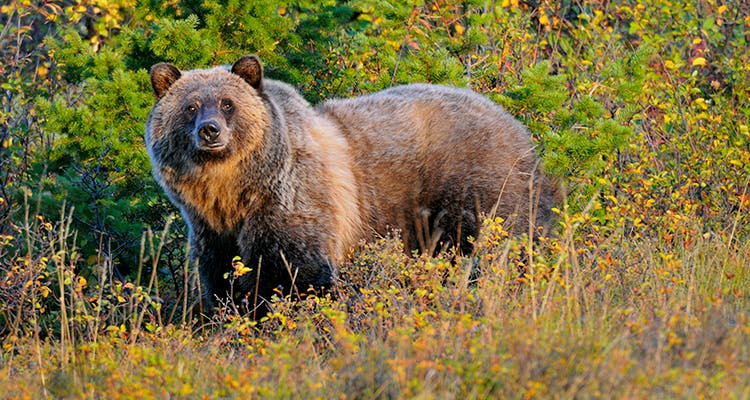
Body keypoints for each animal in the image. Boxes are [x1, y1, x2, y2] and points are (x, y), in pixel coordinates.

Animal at [145, 55, 558, 312]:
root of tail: (517, 126)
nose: (210, 130)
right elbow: (222, 280)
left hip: (478, 186)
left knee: (497, 244)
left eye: (228, 103)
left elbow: (297, 274)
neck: (235, 193)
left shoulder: (293, 202)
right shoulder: (211, 228)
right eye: (190, 107)